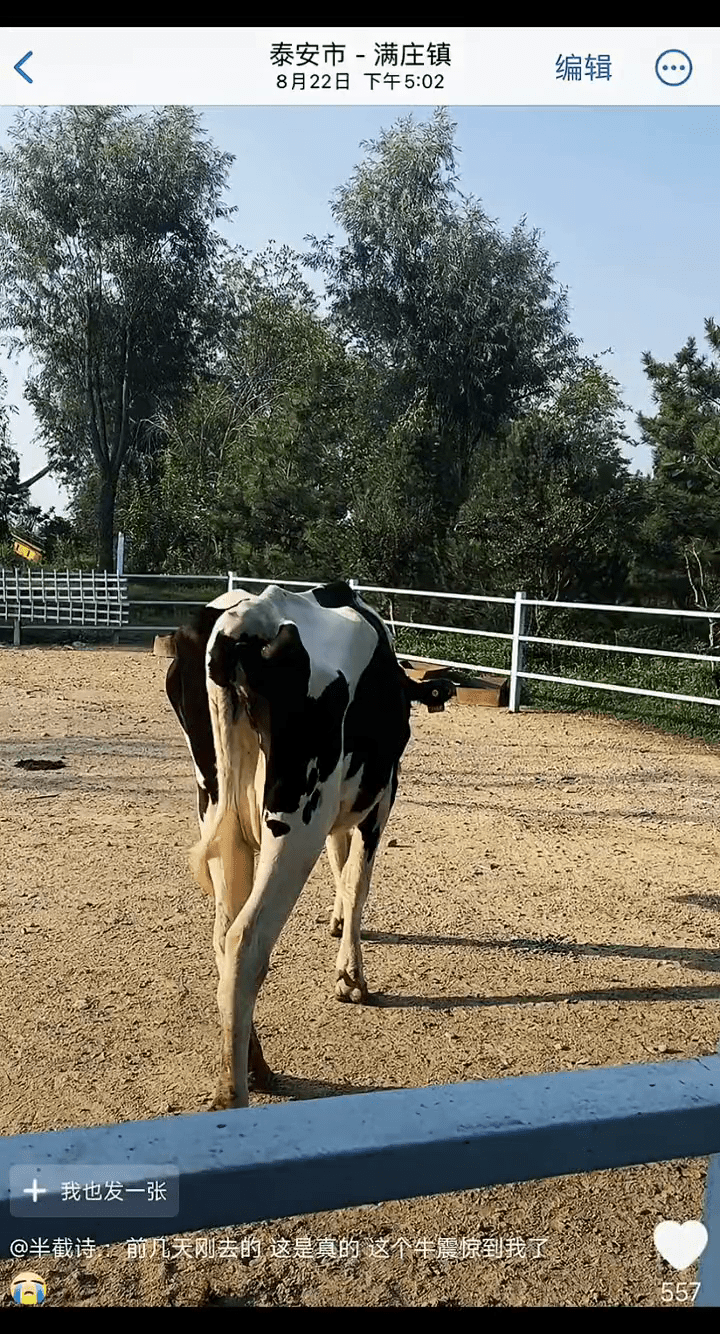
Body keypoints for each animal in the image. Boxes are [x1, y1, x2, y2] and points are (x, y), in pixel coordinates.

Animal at [166, 578, 453, 1109]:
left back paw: (255, 1065)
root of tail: (238, 621)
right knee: (245, 939)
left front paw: (337, 924)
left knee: (222, 934)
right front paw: (351, 978)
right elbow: (358, 881)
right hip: (296, 817)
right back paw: (235, 1092)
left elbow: (340, 865)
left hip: (216, 806)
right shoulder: (380, 798)